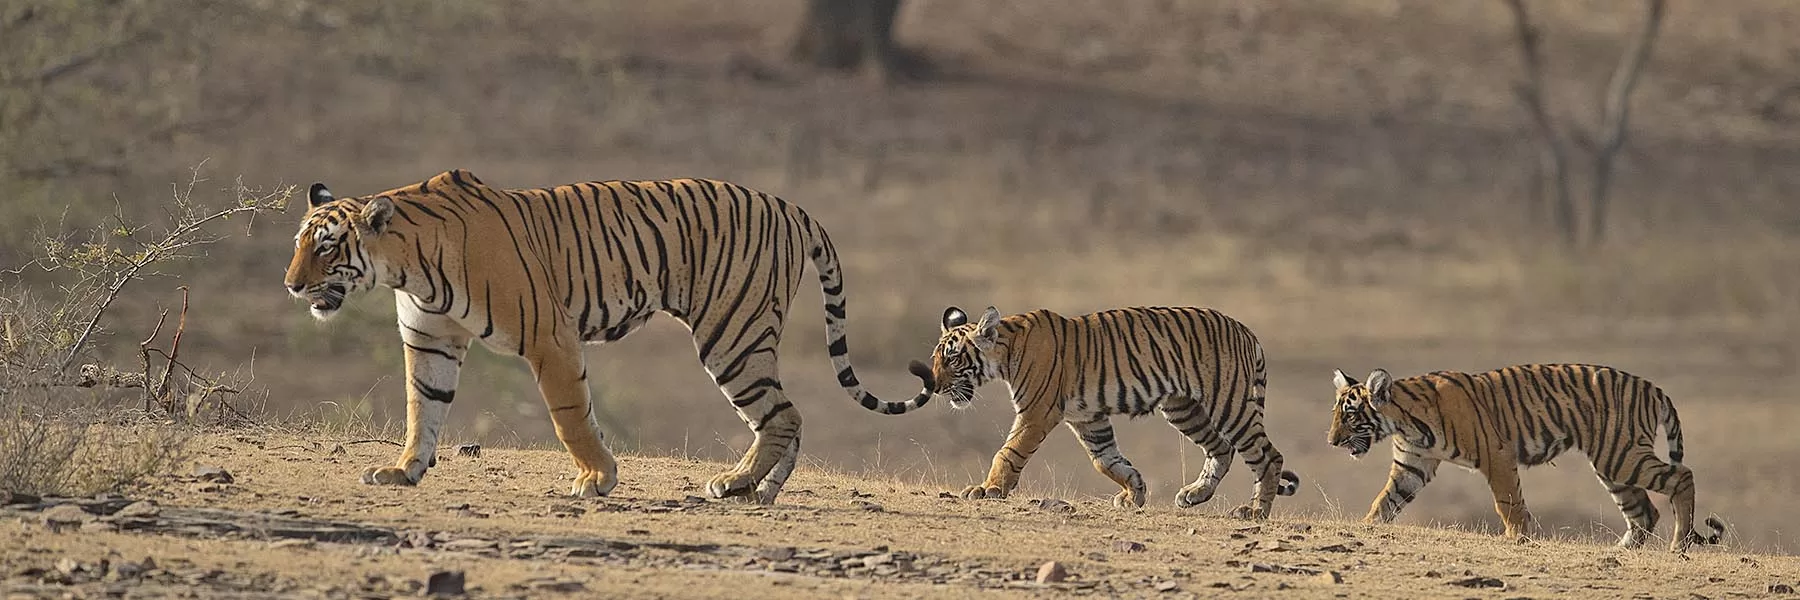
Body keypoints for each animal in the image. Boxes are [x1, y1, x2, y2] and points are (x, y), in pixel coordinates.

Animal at [284, 170, 928, 500]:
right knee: (786, 416)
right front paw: (405, 470)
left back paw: (737, 482)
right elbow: (424, 408)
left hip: (732, 336)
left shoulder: (548, 336)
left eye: (327, 247)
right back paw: (761, 490)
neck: (407, 264)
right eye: (299, 243)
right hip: (743, 340)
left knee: (783, 414)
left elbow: (570, 415)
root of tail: (790, 205)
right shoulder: (430, 341)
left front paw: (596, 478)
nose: (291, 285)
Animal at [907, 306, 1303, 515]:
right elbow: (1106, 460)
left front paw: (988, 489)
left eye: (952, 357)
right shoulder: (1088, 419)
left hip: (1228, 403)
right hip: (1183, 408)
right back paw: (1195, 494)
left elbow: (1009, 451)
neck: (1005, 352)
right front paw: (1134, 493)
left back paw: (1255, 511)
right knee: (1220, 449)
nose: (935, 385)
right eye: (936, 357)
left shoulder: (1037, 411)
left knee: (1267, 455)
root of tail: (1246, 330)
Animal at [1324, 362, 1728, 547]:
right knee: (1644, 511)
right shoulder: (1412, 465)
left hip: (1621, 454)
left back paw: (1679, 545)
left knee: (1682, 477)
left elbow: (1508, 502)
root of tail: (1652, 387)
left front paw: (1517, 537)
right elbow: (1385, 500)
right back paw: (1623, 550)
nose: (1330, 441)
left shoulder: (1496, 456)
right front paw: (1368, 526)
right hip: (1613, 465)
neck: (1403, 422)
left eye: (1350, 415)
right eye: (1335, 413)